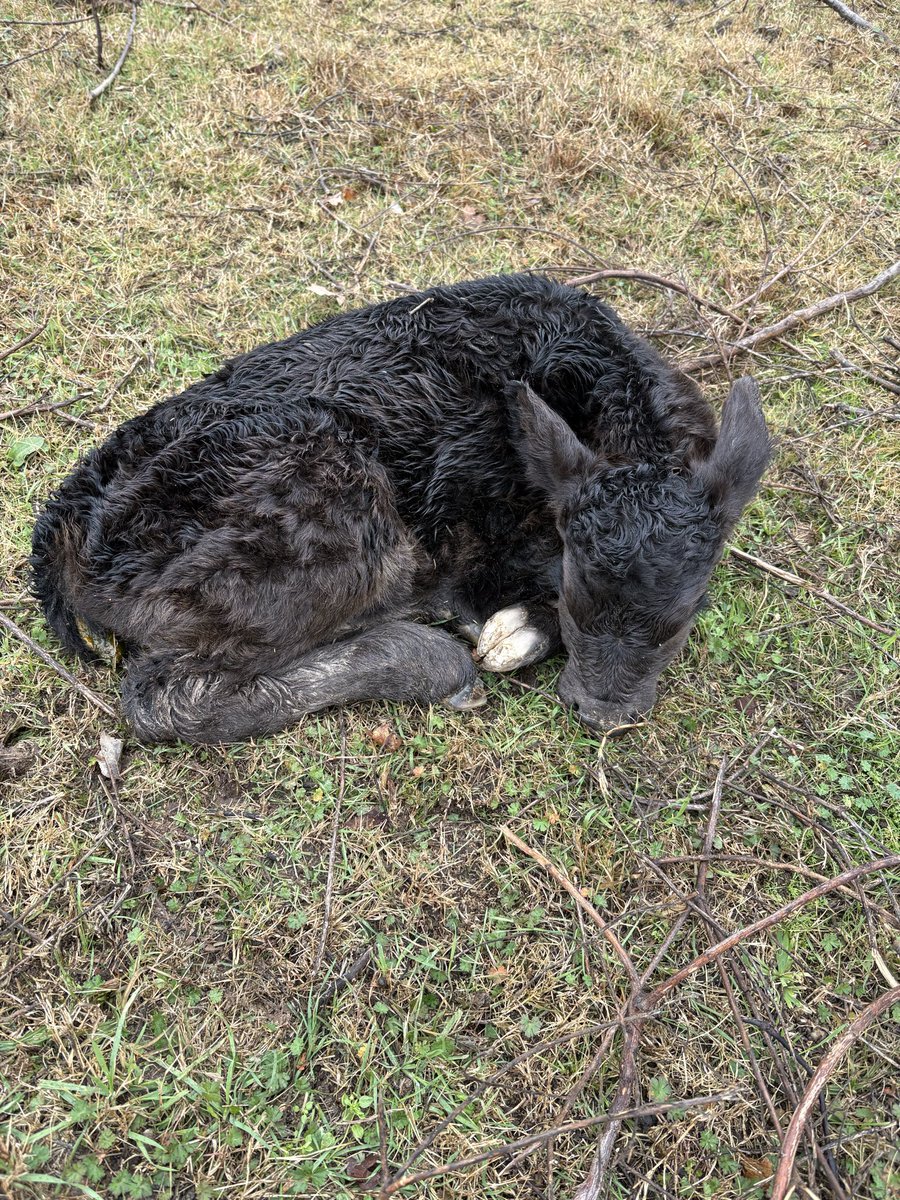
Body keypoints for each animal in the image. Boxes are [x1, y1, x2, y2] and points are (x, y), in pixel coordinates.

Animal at [31, 273, 772, 744]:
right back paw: (427, 657)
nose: (601, 714)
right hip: (332, 523)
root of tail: (60, 529)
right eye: (575, 600)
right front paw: (507, 632)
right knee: (161, 698)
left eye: (682, 621)